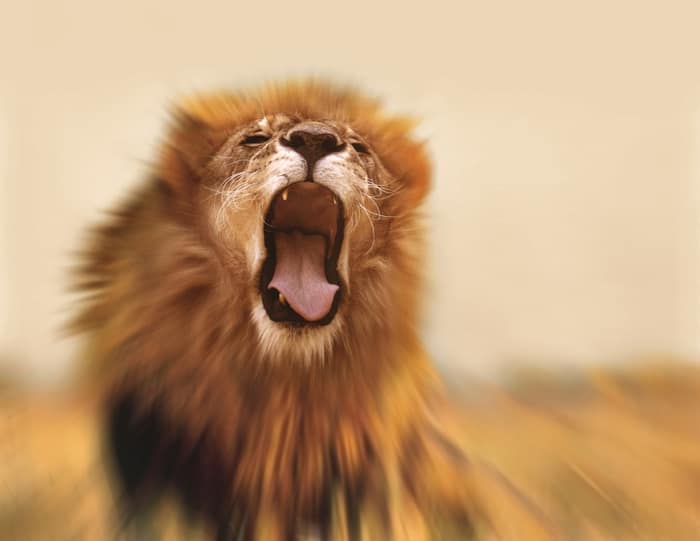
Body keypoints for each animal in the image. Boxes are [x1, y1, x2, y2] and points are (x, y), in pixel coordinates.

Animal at [69, 80, 558, 540]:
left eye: (359, 146)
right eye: (254, 138)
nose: (315, 139)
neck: (286, 378)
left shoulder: (367, 482)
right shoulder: (148, 468)